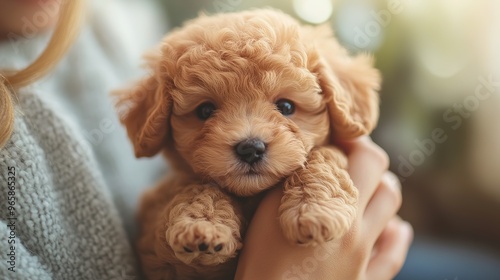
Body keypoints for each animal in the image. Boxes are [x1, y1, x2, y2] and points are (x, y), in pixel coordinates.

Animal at [116, 8, 378, 280]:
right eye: (205, 111)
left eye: (286, 106)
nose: (250, 148)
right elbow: (198, 185)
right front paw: (203, 224)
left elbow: (322, 155)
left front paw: (314, 210)